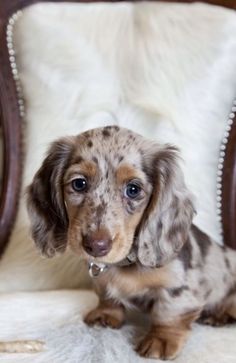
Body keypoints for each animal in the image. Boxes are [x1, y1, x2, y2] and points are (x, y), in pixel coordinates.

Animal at [27, 126, 236, 360]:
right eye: (79, 183)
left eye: (133, 189)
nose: (96, 246)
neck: (125, 265)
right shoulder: (101, 280)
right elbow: (107, 296)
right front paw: (105, 314)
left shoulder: (180, 285)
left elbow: (169, 312)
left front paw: (161, 339)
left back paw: (220, 315)